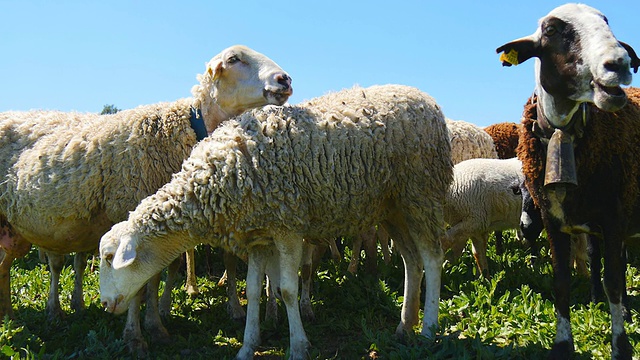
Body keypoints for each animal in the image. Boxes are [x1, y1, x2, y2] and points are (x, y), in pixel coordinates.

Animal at [0, 43, 292, 356]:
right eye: (234, 59)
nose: (284, 79)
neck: (187, 128)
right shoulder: (131, 218)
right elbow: (139, 285)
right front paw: (135, 337)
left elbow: (152, 279)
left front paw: (155, 326)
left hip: (13, 230)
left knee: (5, 265)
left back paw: (10, 313)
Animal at [97, 84, 452, 360]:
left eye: (109, 257)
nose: (105, 304)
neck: (217, 178)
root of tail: (426, 99)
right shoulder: (258, 234)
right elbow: (254, 290)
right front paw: (247, 346)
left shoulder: (287, 226)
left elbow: (287, 290)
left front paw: (298, 346)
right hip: (393, 207)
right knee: (411, 261)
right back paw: (405, 326)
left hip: (422, 192)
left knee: (433, 259)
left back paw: (428, 329)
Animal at [496, 4, 640, 358]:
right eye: (551, 30)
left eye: (607, 23)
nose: (619, 63)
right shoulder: (554, 221)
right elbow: (560, 280)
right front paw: (562, 344)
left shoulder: (614, 217)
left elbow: (613, 280)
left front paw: (621, 346)